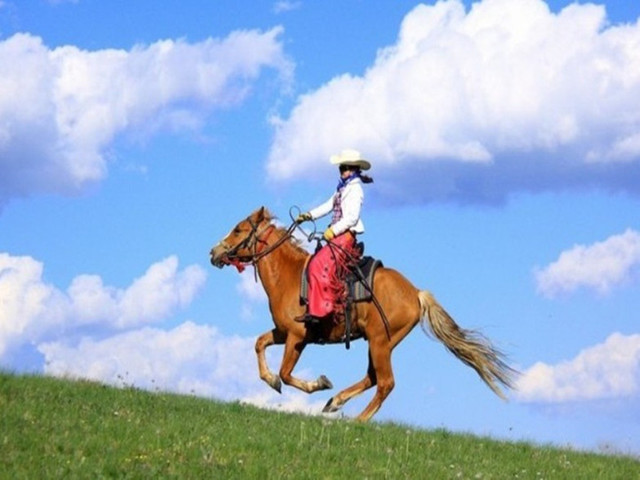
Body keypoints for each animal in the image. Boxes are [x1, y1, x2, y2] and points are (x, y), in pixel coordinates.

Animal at [209, 206, 516, 420]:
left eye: (238, 230)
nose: (213, 252)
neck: (290, 277)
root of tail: (416, 293)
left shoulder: (297, 336)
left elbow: (286, 373)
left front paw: (318, 383)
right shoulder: (283, 332)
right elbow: (259, 344)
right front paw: (271, 379)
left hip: (381, 342)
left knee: (386, 383)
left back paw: (358, 419)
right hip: (377, 342)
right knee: (373, 377)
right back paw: (335, 402)